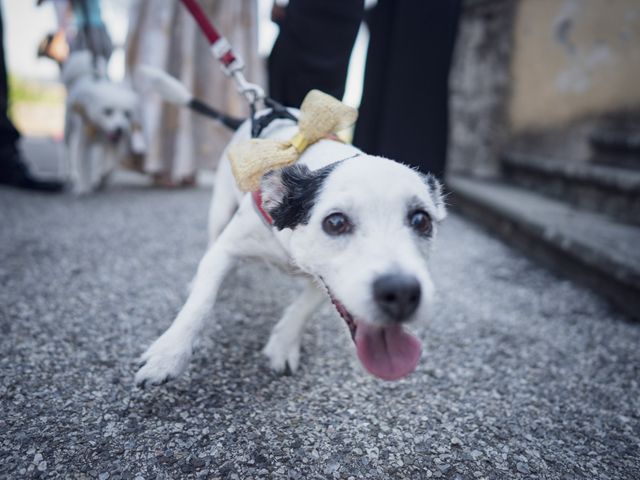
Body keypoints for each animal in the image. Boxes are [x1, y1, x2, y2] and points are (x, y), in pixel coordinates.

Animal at [62, 51, 145, 194]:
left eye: (127, 114)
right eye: (108, 111)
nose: (119, 129)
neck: (100, 129)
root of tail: (84, 77)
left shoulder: (115, 144)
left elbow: (109, 163)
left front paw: (102, 176)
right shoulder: (82, 142)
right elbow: (82, 164)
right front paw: (83, 187)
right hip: (69, 129)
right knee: (68, 154)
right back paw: (72, 174)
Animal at [135, 109, 444, 386]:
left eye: (421, 220)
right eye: (335, 222)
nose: (402, 291)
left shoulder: (323, 279)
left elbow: (303, 307)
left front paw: (283, 345)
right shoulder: (226, 249)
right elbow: (201, 302)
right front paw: (168, 355)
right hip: (220, 208)